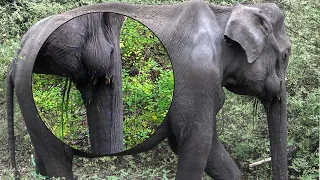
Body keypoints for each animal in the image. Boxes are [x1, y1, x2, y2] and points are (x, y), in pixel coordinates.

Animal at [6, 0, 292, 179]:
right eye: (286, 55)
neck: (225, 13)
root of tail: (19, 49)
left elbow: (208, 148)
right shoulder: (197, 79)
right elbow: (194, 142)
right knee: (57, 160)